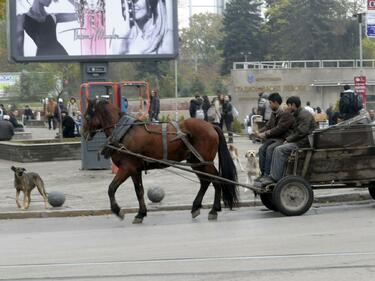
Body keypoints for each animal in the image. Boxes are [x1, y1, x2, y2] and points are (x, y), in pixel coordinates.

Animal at [83, 99, 239, 222]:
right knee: (205, 182)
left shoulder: (127, 168)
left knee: (216, 180)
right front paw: (141, 213)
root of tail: (211, 125)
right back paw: (196, 207)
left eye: (87, 116)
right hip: (197, 162)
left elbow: (111, 188)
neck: (124, 132)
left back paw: (214, 209)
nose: (83, 134)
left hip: (205, 162)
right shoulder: (135, 170)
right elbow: (139, 191)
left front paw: (118, 210)